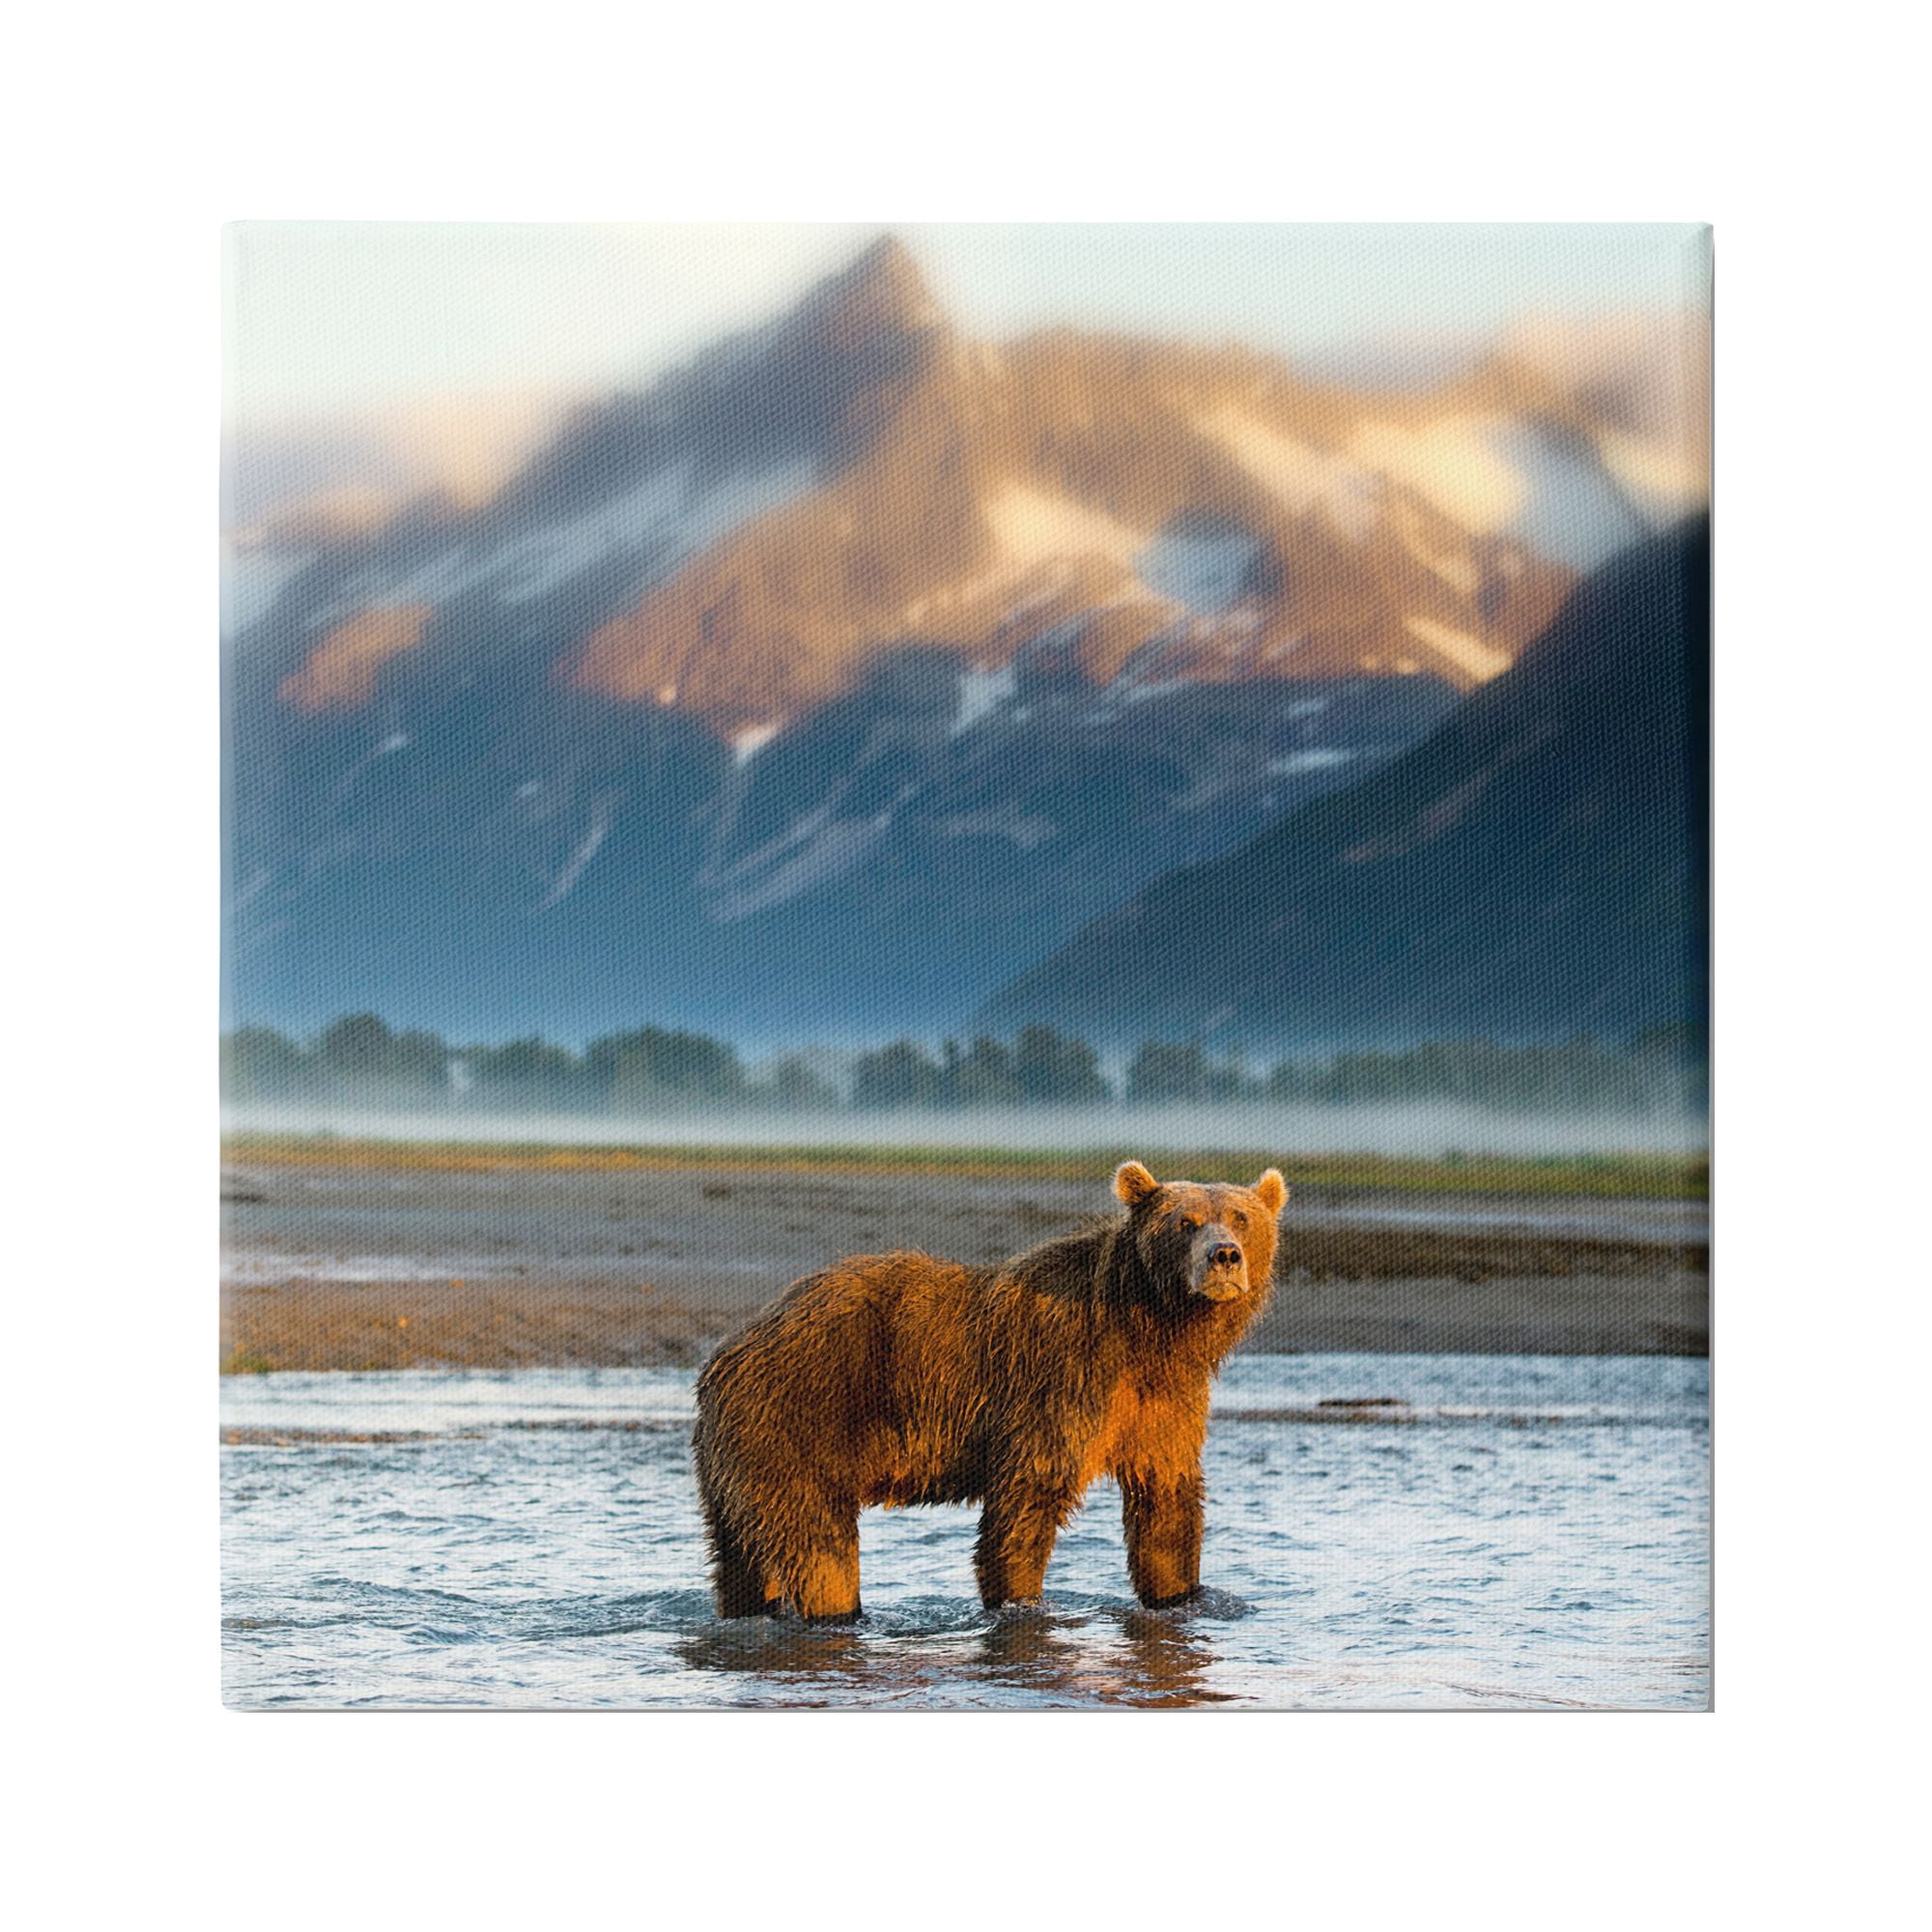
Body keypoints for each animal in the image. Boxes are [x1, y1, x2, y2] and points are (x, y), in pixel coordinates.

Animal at [691, 1160, 1288, 1619]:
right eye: (1186, 1222)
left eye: (1241, 1218)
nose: (1224, 1255)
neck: (1152, 1329)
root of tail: (728, 1349)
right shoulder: (1061, 1379)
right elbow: (1028, 1500)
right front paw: (1021, 1604)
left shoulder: (1163, 1400)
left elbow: (1166, 1500)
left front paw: (1182, 1597)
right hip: (803, 1419)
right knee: (819, 1549)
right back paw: (836, 1614)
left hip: (736, 1461)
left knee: (739, 1558)